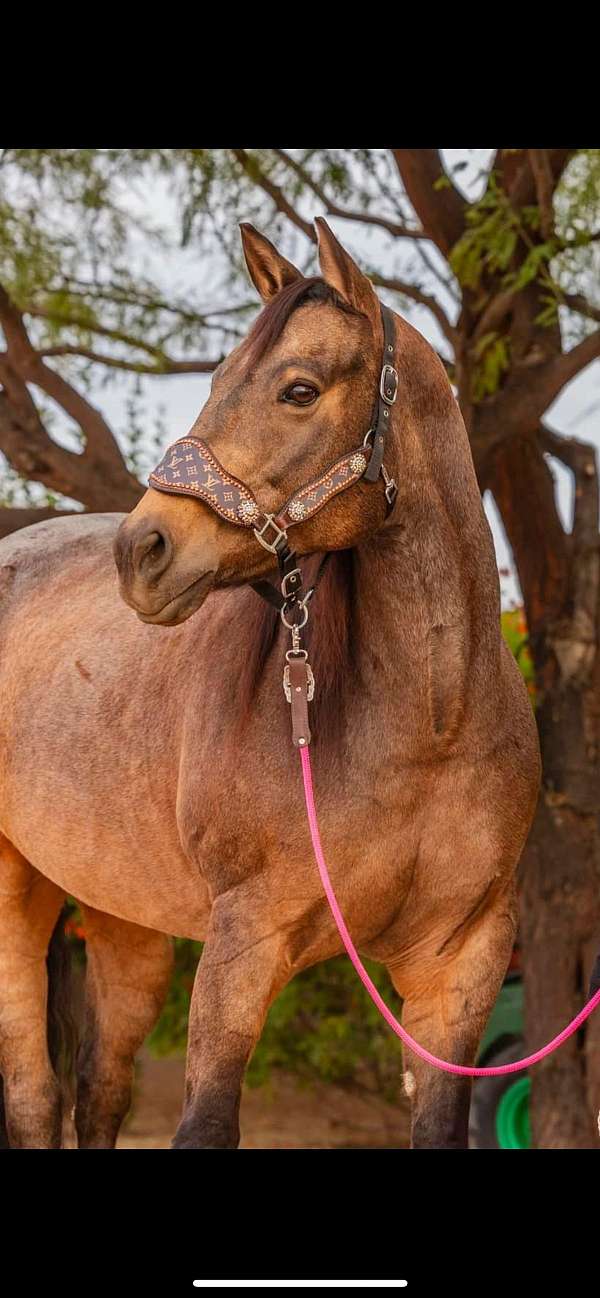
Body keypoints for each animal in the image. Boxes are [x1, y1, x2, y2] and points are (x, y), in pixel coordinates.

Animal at [0, 218, 540, 1152]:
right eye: (218, 379)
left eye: (298, 389)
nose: (141, 551)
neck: (432, 727)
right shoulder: (244, 944)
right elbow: (207, 1122)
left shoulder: (461, 966)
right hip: (16, 899)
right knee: (34, 1098)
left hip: (125, 919)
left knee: (98, 1089)